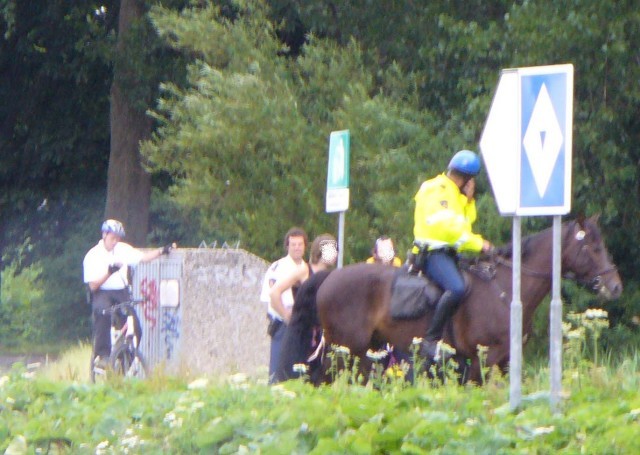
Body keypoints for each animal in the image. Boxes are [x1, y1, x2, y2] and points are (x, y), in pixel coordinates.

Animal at [278, 216, 624, 384]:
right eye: (592, 247)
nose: (615, 286)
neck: (506, 287)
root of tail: (329, 277)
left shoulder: (503, 361)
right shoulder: (484, 359)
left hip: (364, 352)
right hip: (345, 350)